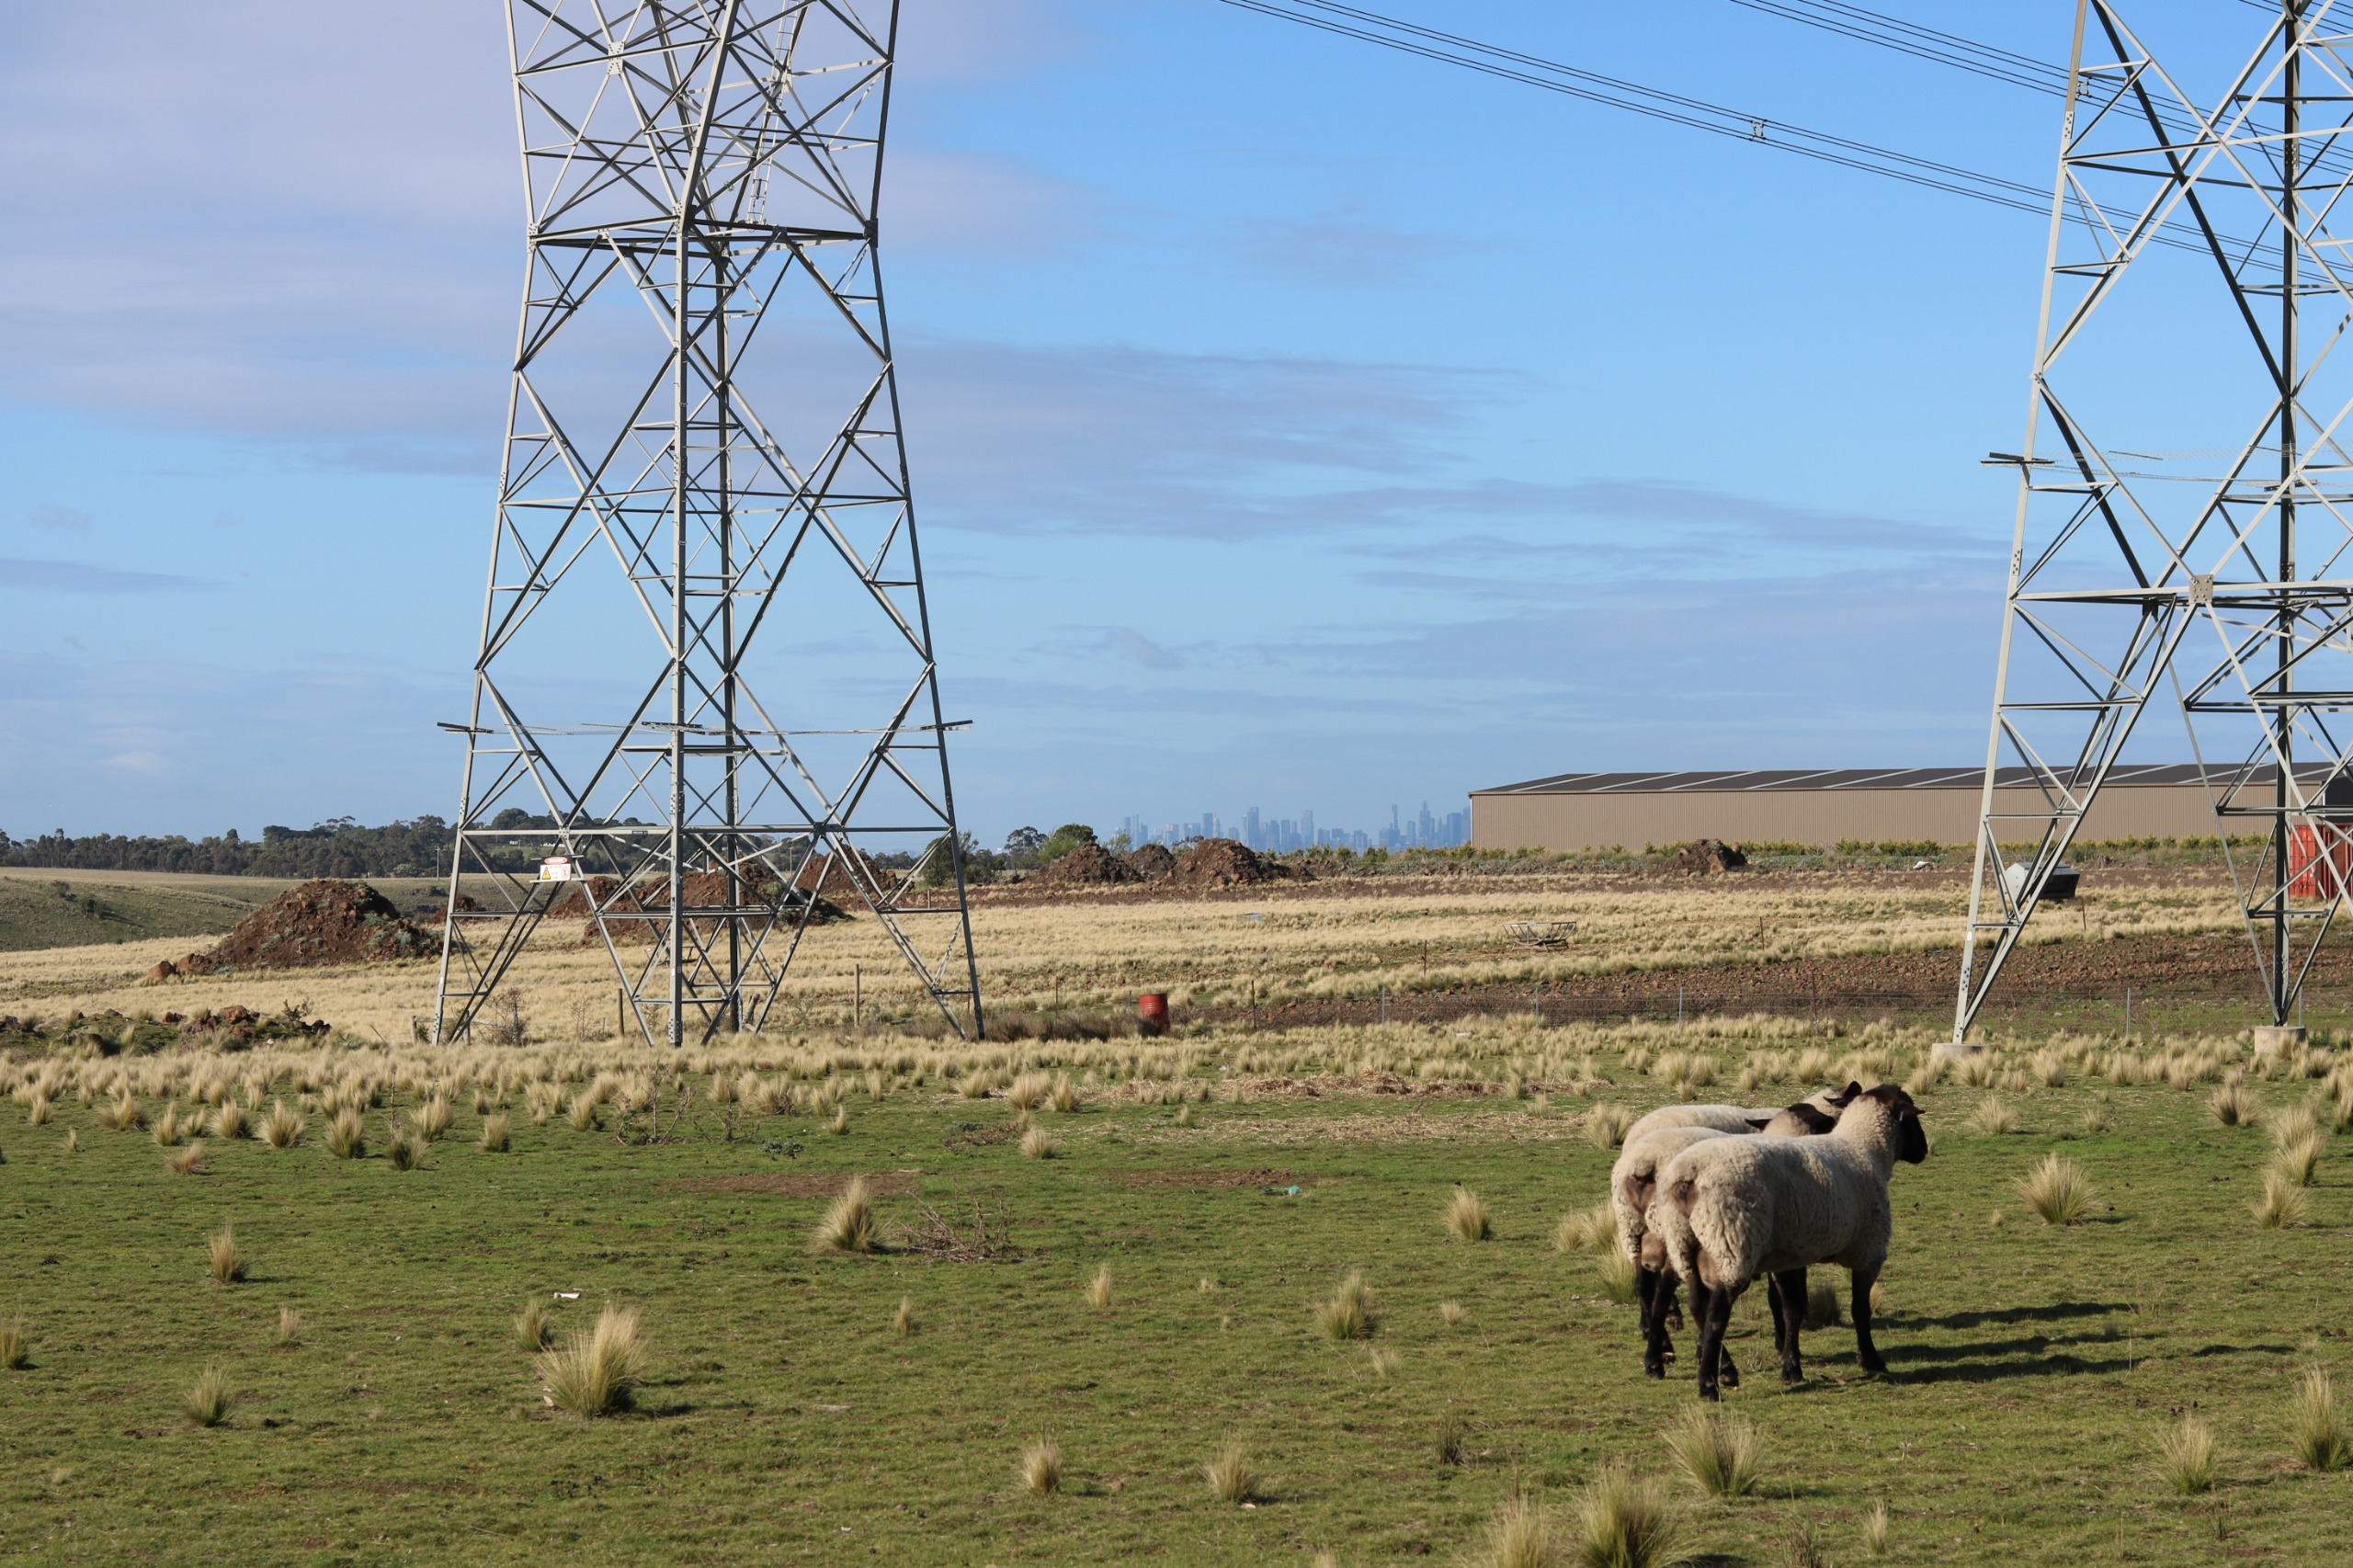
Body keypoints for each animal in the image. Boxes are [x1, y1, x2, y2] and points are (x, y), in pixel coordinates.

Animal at [1613, 1090, 1855, 1380]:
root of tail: (1642, 1164)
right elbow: (1783, 1299)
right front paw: (1785, 1345)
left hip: (1639, 1230)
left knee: (1647, 1286)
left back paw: (1659, 1351)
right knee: (1682, 1297)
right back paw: (1711, 1360)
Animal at [1651, 1082, 1928, 1400]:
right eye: (1912, 1116)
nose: (1924, 1149)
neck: (1865, 1150)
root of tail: (1688, 1176)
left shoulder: (1788, 1256)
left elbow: (1791, 1311)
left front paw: (1791, 1367)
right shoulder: (1869, 1252)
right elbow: (1860, 1310)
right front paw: (1871, 1360)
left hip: (1683, 1243)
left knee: (1696, 1306)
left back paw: (1705, 1367)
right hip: (1732, 1244)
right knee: (1715, 1316)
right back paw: (1710, 1384)